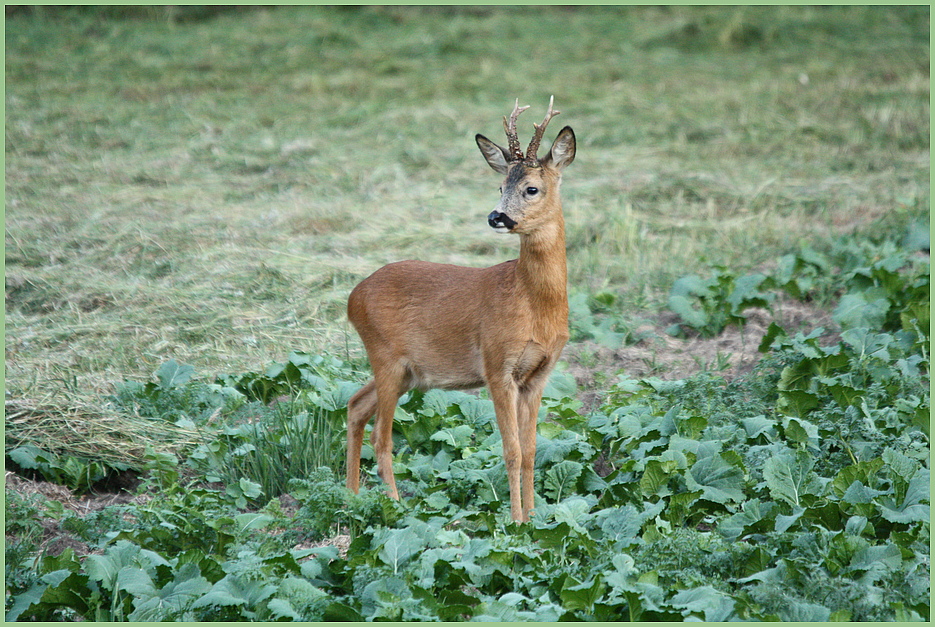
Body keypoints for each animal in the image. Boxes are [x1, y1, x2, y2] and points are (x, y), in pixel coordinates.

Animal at [348, 97, 576, 520]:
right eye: (500, 185)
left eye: (531, 188)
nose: (496, 216)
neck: (535, 305)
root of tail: (353, 296)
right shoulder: (496, 364)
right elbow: (511, 451)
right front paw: (516, 521)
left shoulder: (539, 374)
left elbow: (532, 451)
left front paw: (535, 518)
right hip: (385, 356)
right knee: (381, 436)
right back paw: (394, 508)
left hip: (409, 372)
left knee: (356, 406)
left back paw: (350, 498)